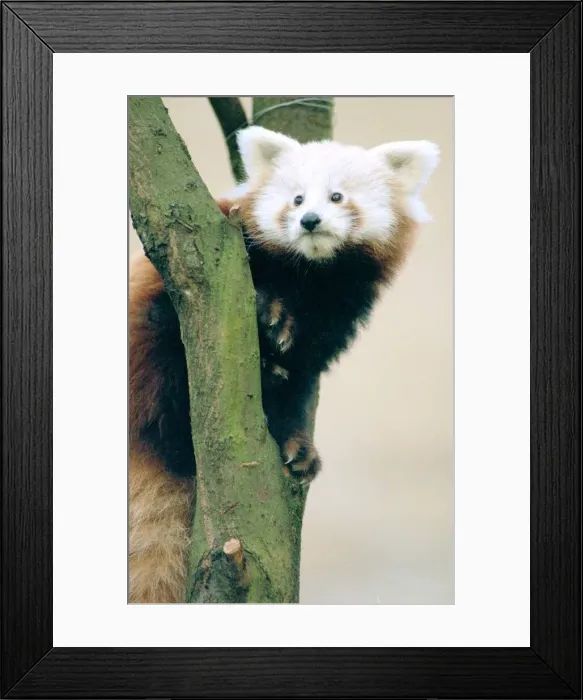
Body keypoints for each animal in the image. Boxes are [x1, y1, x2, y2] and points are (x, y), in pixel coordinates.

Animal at [129, 125, 439, 602]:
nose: (309, 220)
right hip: (148, 354)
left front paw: (294, 433)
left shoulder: (334, 317)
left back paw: (293, 439)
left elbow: (302, 376)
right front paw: (268, 311)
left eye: (336, 196)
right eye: (296, 199)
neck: (308, 278)